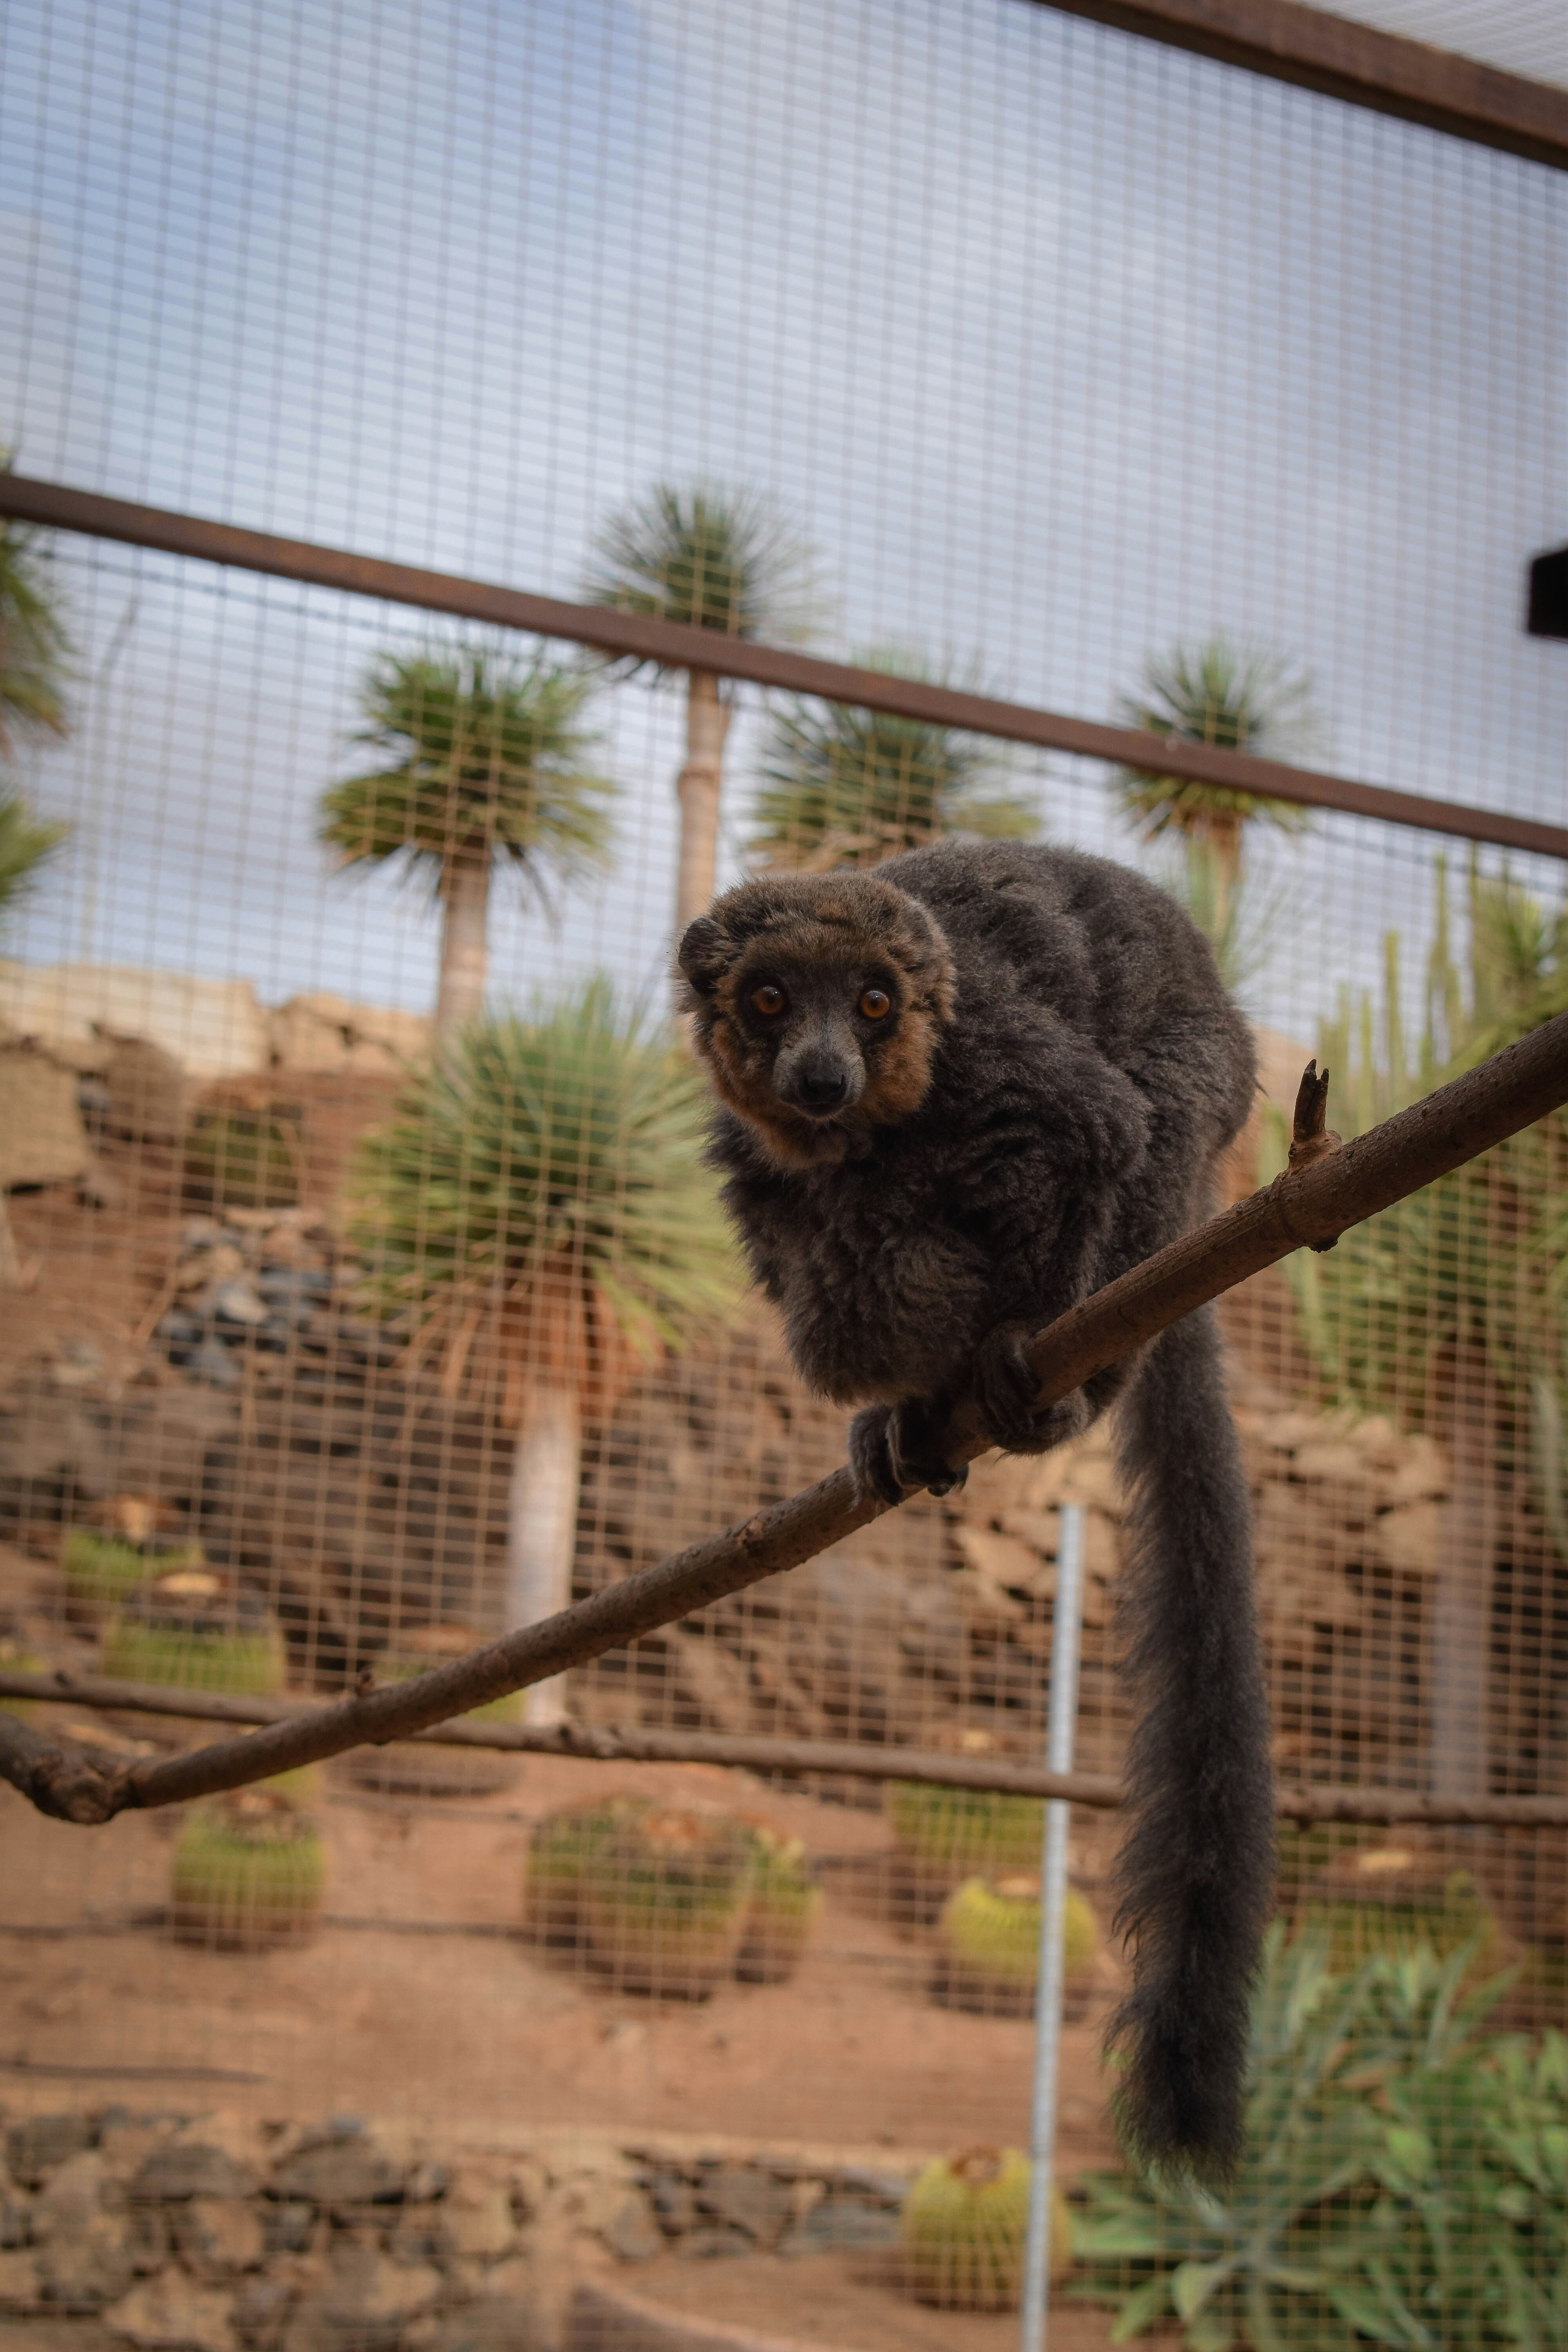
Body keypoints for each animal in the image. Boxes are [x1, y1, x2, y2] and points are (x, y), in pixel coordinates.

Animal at [677, 838, 1274, 2182]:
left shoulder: (998, 1054)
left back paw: (1055, 1379)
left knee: (1148, 1128)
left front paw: (1012, 1343)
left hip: (1206, 1101)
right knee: (833, 1265)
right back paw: (912, 1405)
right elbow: (782, 1219)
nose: (824, 1071)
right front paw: (900, 1404)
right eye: (770, 1001)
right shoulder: (747, 1140)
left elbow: (1098, 1129)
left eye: (874, 1003)